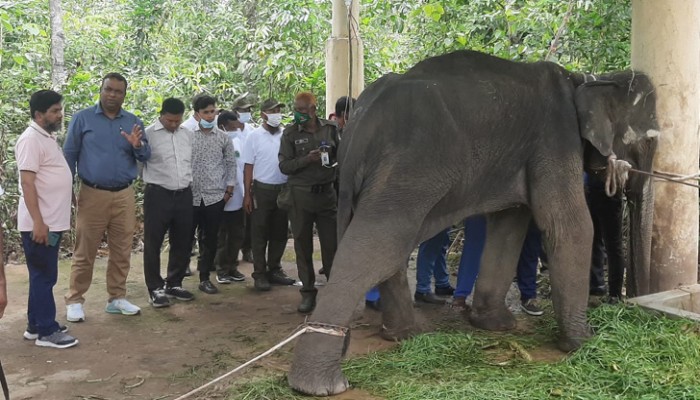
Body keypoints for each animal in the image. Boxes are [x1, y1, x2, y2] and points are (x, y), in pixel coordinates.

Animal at [288, 50, 660, 396]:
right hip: (409, 170)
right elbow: (570, 225)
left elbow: (511, 222)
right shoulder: (556, 139)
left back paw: (407, 336)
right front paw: (585, 343)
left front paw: (495, 324)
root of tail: (357, 127)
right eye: (651, 139)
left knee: (388, 248)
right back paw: (320, 385)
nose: (630, 305)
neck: (583, 78)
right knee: (378, 246)